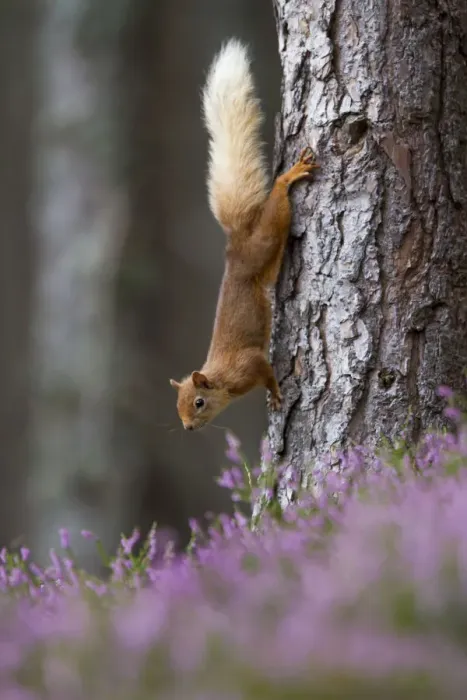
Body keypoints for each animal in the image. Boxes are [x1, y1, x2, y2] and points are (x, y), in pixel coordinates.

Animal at [170, 39, 319, 431]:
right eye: (177, 407)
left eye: (199, 402)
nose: (188, 428)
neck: (223, 381)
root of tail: (235, 244)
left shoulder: (249, 364)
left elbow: (266, 370)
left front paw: (277, 395)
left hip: (263, 241)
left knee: (277, 203)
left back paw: (289, 175)